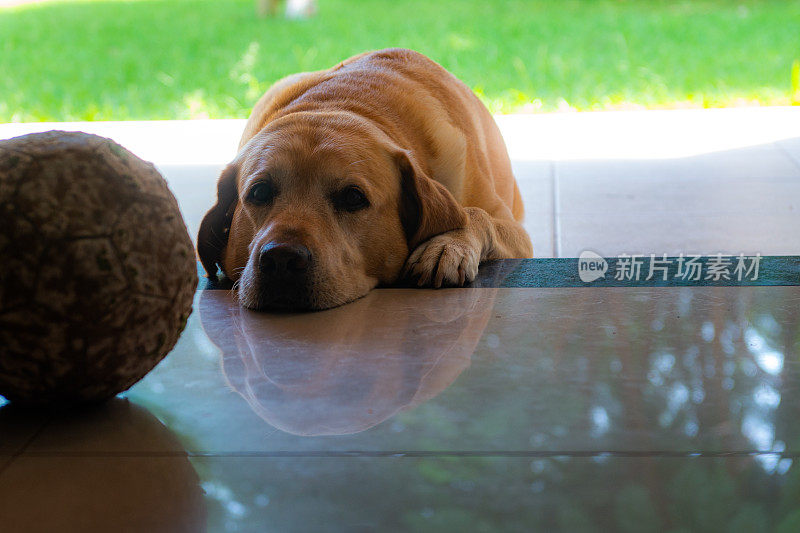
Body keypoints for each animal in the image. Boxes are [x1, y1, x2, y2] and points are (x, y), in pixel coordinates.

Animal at [198, 48, 532, 312]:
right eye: (259, 192)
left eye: (353, 197)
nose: (281, 259)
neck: (342, 103)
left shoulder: (516, 232)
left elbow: (475, 214)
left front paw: (448, 244)